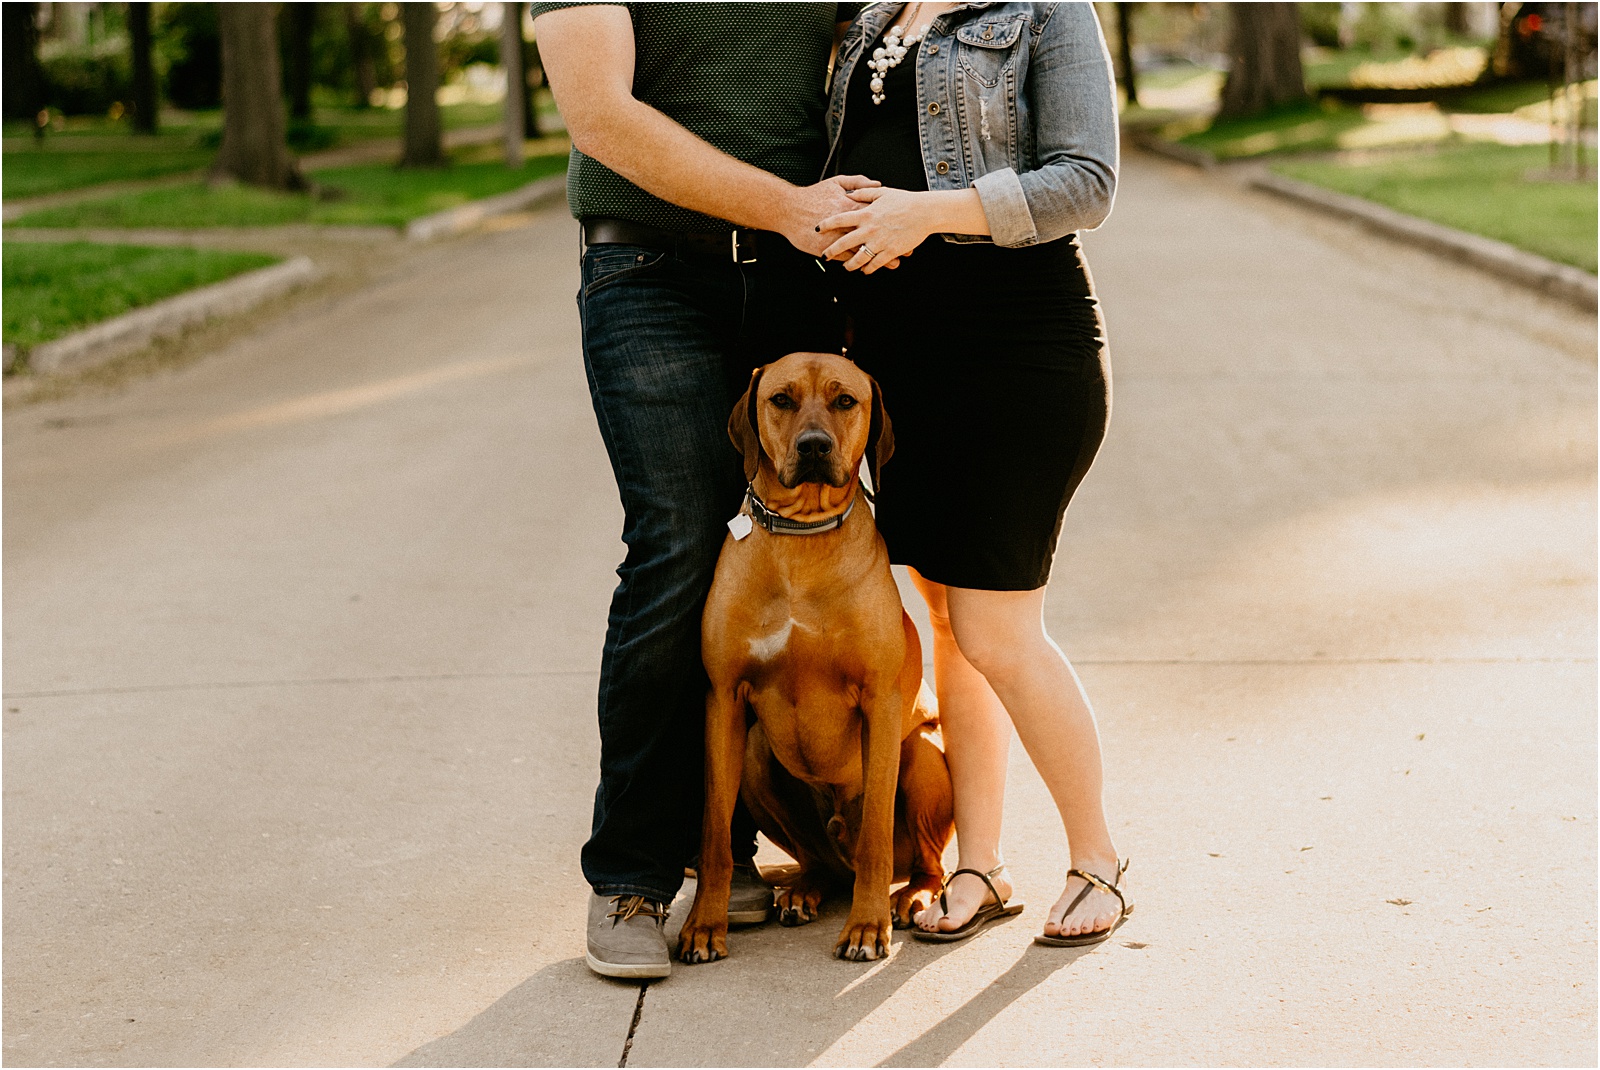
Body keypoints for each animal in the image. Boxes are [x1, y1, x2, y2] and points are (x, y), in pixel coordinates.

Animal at [672, 350, 947, 959]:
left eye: (846, 400)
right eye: (782, 399)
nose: (815, 446)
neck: (801, 538)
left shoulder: (881, 700)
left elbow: (875, 834)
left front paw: (867, 927)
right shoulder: (723, 699)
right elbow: (714, 834)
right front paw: (704, 924)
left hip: (922, 756)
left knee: (923, 863)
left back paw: (908, 897)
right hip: (757, 758)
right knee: (818, 862)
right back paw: (804, 890)